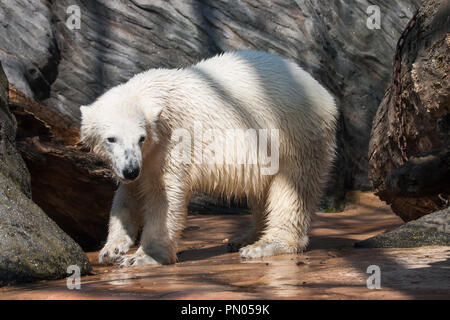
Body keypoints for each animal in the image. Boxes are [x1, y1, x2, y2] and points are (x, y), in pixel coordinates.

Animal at [79, 50, 336, 268]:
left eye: (141, 138)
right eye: (111, 139)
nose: (131, 170)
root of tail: (324, 94)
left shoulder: (174, 141)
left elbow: (163, 195)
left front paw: (143, 257)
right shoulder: (145, 159)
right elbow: (128, 195)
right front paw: (111, 249)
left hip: (293, 133)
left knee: (292, 189)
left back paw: (264, 245)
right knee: (263, 189)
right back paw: (244, 238)